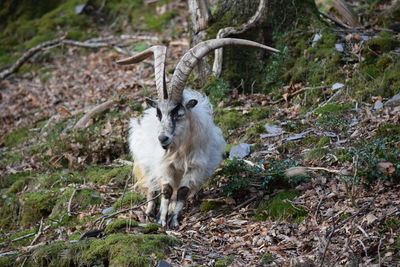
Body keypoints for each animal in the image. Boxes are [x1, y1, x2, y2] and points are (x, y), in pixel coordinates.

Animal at [117, 38, 280, 228]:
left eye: (178, 113)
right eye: (159, 113)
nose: (162, 138)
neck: (180, 149)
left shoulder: (195, 168)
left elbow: (181, 191)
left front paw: (174, 220)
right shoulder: (164, 165)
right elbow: (166, 189)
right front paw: (161, 220)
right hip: (145, 162)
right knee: (151, 185)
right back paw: (149, 211)